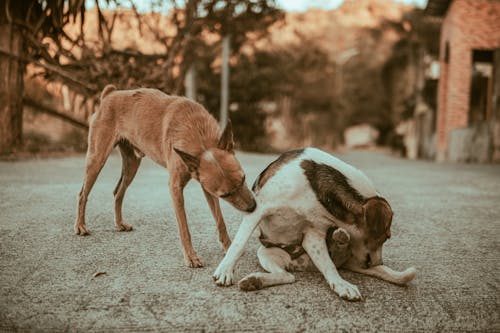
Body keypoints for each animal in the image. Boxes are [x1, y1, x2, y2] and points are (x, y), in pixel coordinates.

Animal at [76, 85, 256, 268]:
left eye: (244, 179)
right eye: (226, 195)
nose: (253, 208)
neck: (198, 136)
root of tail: (110, 93)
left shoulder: (207, 189)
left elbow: (220, 220)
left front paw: (229, 247)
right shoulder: (175, 188)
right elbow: (184, 228)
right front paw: (191, 256)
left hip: (132, 165)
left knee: (117, 192)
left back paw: (119, 224)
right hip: (97, 160)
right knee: (83, 194)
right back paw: (80, 226)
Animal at [213, 147, 416, 300]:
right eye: (386, 236)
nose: (378, 263)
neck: (309, 188)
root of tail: (304, 265)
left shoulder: (314, 234)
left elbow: (329, 266)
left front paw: (340, 284)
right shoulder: (257, 211)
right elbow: (237, 246)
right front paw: (225, 269)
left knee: (308, 268)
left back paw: (340, 237)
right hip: (266, 252)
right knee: (287, 275)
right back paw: (255, 281)